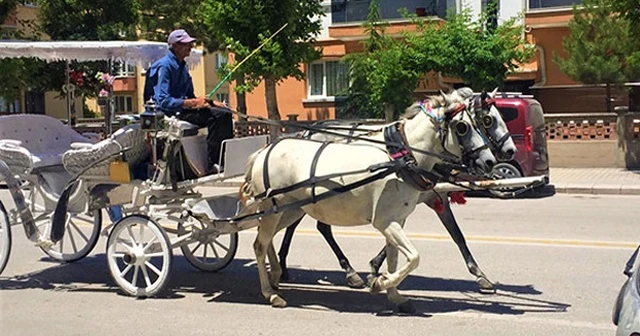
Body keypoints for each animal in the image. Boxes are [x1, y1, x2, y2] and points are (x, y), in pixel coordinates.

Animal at [240, 92, 496, 312]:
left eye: (480, 123)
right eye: (463, 127)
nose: (490, 161)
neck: (401, 158)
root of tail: (264, 151)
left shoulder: (397, 220)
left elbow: (395, 258)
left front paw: (394, 294)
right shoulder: (385, 221)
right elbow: (414, 257)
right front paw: (379, 282)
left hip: (288, 211)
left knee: (267, 239)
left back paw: (276, 276)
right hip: (274, 209)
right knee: (259, 245)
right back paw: (271, 293)